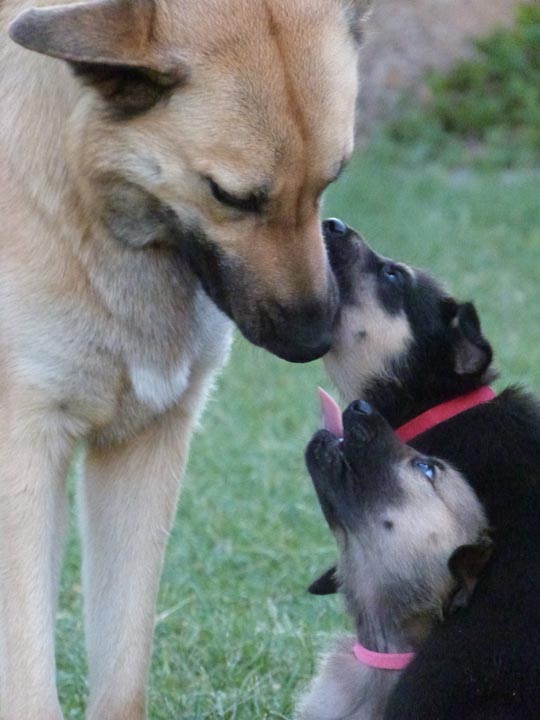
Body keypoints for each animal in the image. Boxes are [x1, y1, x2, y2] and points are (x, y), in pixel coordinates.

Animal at [0, 1, 372, 720]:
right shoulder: (24, 460)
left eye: (332, 179)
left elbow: (123, 677)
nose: (316, 339)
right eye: (232, 197)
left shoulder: (145, 448)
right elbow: (29, 682)